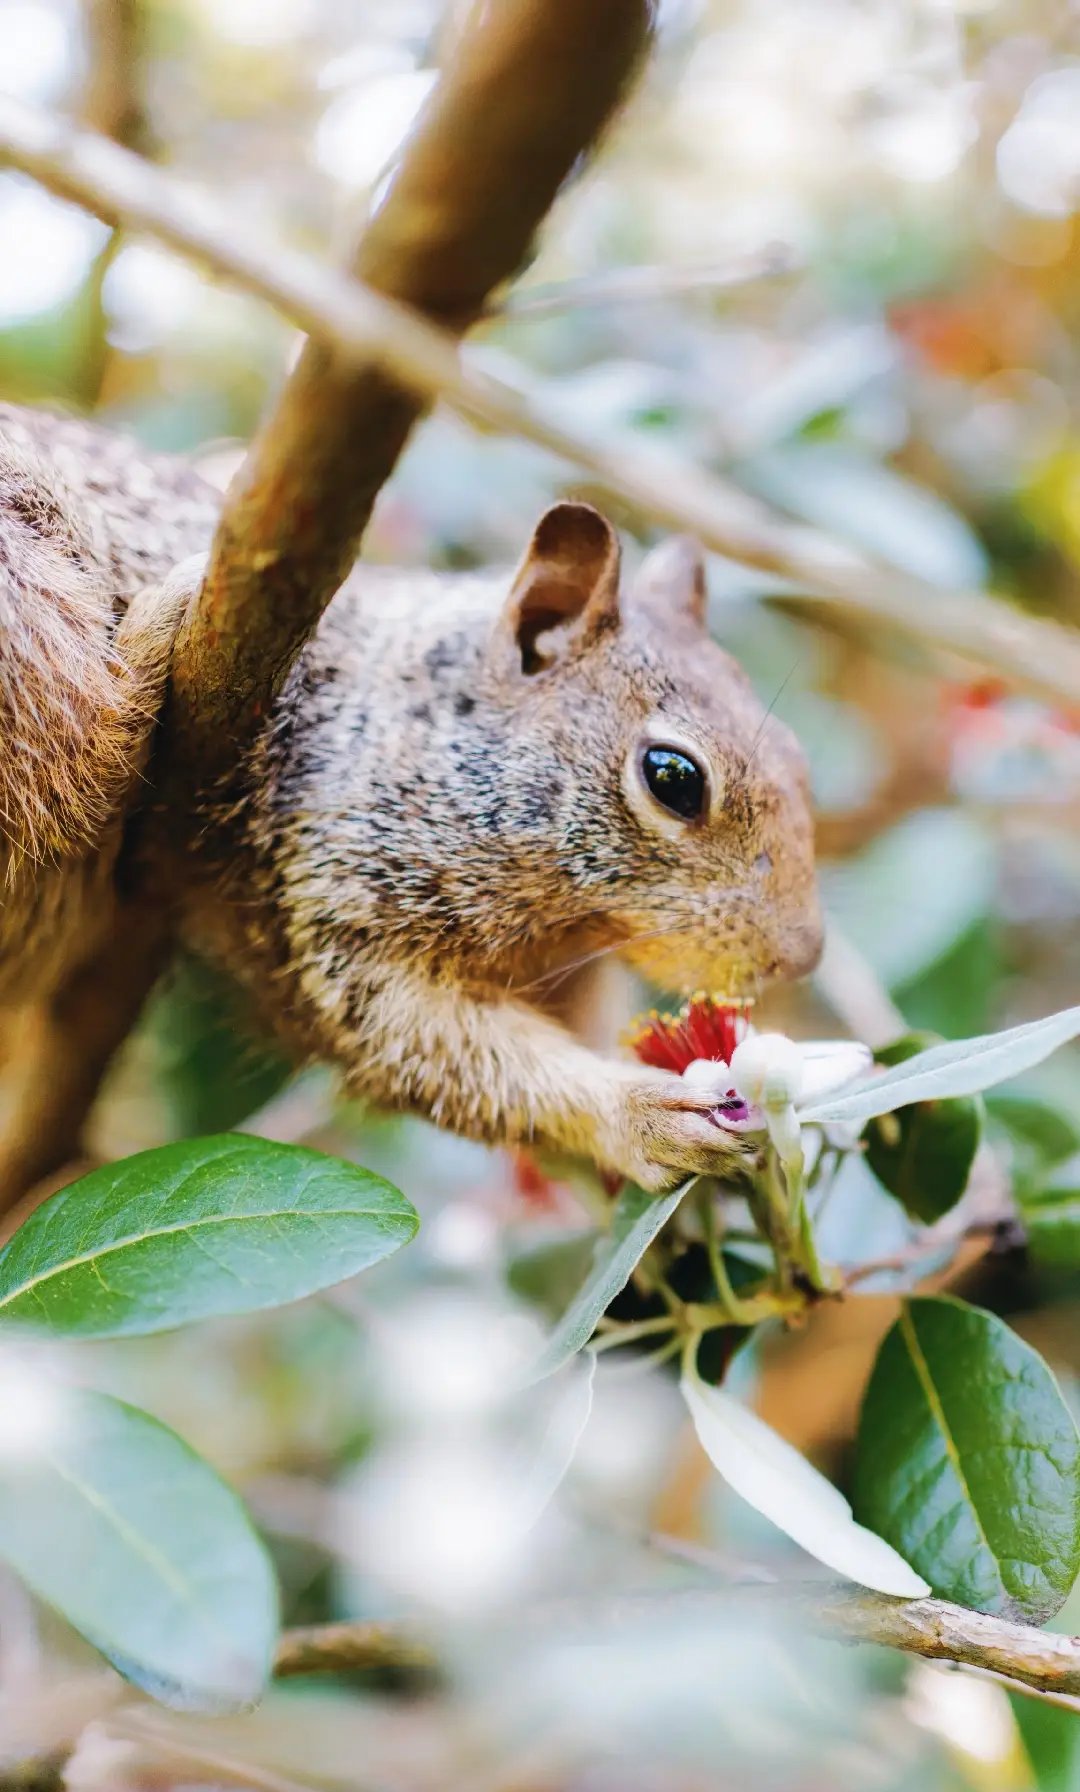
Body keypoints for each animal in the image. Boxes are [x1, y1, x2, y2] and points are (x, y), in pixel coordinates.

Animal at [0, 397, 820, 1197]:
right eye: (672, 778)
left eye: (797, 755)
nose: (801, 958)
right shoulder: (330, 893)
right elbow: (430, 1050)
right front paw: (640, 1113)